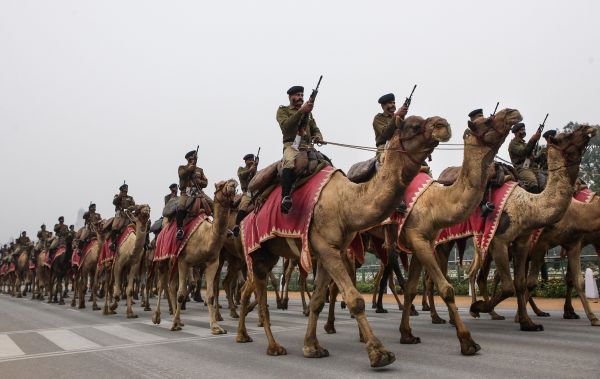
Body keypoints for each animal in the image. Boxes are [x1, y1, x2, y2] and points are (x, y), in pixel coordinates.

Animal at [166, 180, 239, 332]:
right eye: (220, 185)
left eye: (232, 183)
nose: (232, 183)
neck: (206, 237)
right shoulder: (183, 261)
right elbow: (181, 294)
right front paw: (174, 325)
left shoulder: (212, 263)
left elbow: (210, 295)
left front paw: (216, 327)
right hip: (172, 260)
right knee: (172, 287)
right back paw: (175, 321)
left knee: (173, 286)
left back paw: (179, 320)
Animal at [236, 115, 450, 368]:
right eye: (413, 125)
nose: (443, 124)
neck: (345, 203)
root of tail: (245, 214)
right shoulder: (326, 248)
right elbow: (354, 299)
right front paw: (380, 354)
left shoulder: (331, 250)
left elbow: (319, 299)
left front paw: (312, 347)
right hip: (255, 249)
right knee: (256, 293)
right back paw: (267, 344)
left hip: (268, 254)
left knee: (252, 288)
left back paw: (248, 336)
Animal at [472, 126, 596, 332]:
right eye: (566, 136)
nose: (587, 128)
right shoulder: (505, 240)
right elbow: (515, 285)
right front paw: (477, 306)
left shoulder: (530, 241)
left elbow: (522, 283)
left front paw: (528, 323)